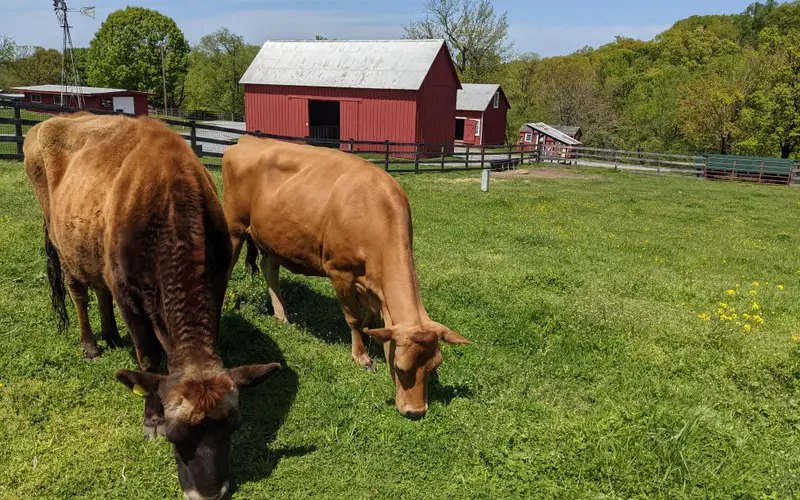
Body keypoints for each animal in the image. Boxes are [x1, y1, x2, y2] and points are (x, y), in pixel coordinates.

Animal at [24, 113, 281, 500]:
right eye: (174, 436)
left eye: (234, 427)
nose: (209, 493)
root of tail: (50, 121)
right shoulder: (127, 291)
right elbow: (147, 357)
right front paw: (151, 417)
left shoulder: (218, 280)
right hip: (63, 243)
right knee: (79, 292)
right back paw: (91, 344)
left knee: (100, 290)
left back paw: (112, 336)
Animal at [221, 135, 470, 419]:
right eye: (399, 366)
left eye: (434, 367)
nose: (415, 412)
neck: (373, 213)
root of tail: (248, 139)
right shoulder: (339, 273)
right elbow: (353, 318)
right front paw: (361, 355)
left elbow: (371, 316)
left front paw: (371, 334)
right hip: (235, 226)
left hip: (275, 237)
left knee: (269, 269)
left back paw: (282, 315)